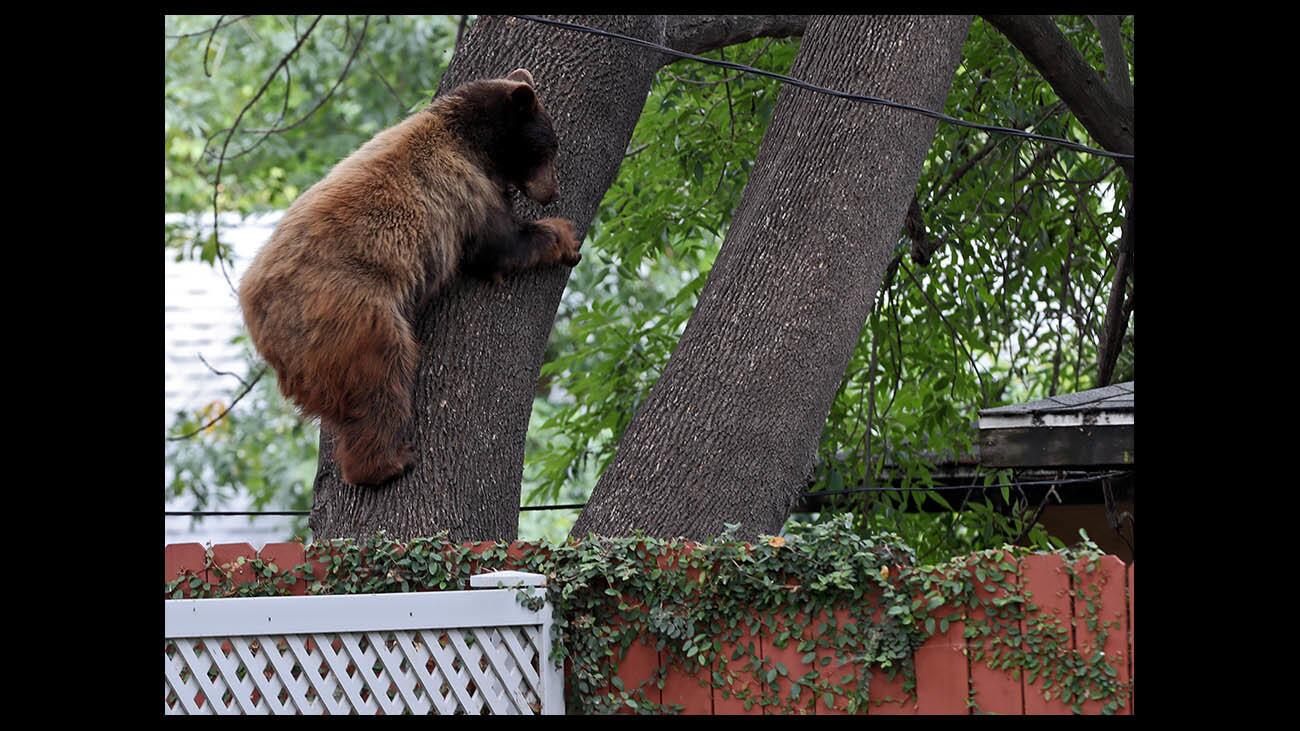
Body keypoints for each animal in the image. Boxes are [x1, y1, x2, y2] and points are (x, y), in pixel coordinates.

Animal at [237, 68, 579, 486]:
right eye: (550, 147)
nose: (553, 191)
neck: (473, 141)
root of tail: (261, 320)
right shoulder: (464, 193)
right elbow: (499, 246)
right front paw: (564, 236)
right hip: (355, 315)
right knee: (381, 381)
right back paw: (388, 461)